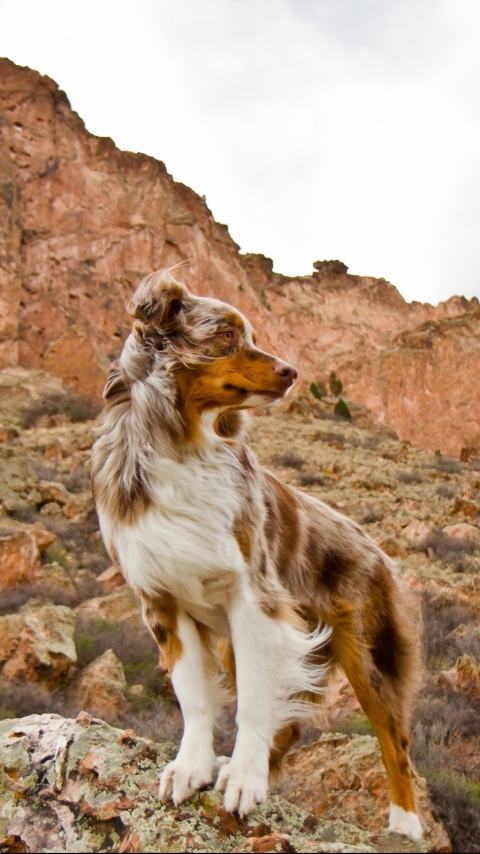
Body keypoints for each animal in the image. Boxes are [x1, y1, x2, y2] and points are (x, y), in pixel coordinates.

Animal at [92, 270, 422, 844]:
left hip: (368, 653)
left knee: (394, 740)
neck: (182, 441)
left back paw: (404, 824)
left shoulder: (256, 599)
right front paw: (193, 767)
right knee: (289, 724)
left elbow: (251, 704)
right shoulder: (161, 601)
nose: (292, 371)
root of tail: (373, 543)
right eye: (226, 335)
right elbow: (195, 697)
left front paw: (245, 780)